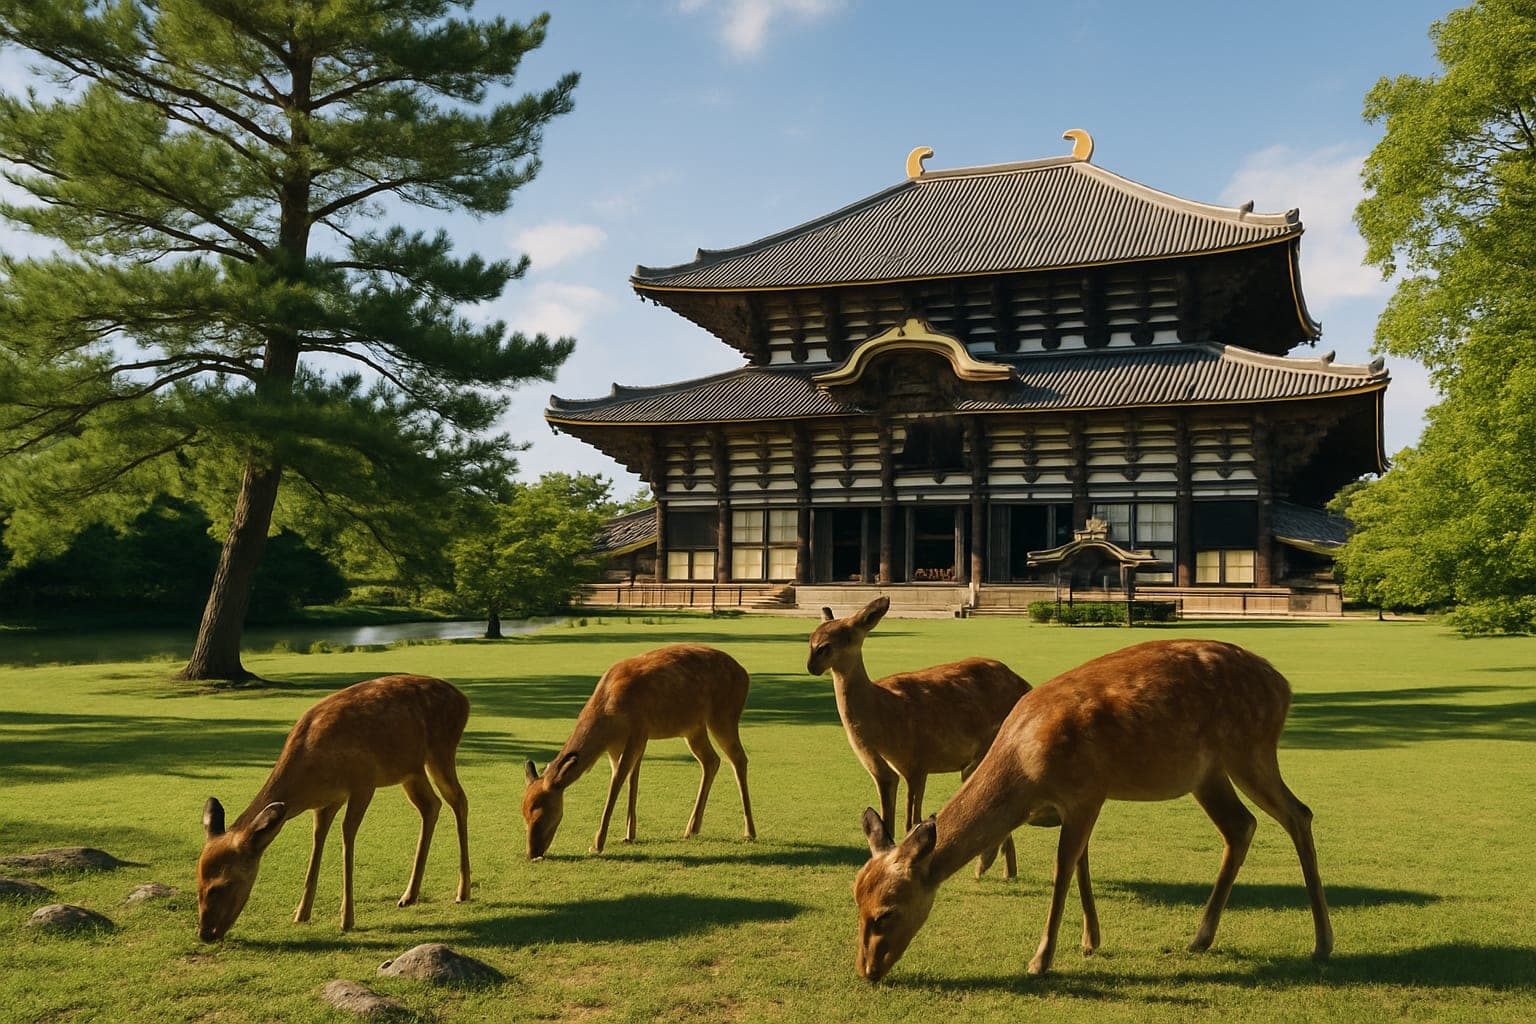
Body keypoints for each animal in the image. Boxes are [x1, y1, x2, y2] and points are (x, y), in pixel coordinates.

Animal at [196, 674, 471, 942]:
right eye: (197, 881)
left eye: (222, 885)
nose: (205, 934)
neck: (311, 777)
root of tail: (463, 700)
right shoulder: (328, 801)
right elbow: (318, 838)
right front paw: (301, 913)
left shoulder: (363, 783)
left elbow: (347, 834)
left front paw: (346, 920)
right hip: (410, 770)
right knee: (431, 805)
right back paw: (408, 896)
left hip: (441, 751)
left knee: (459, 799)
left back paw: (463, 892)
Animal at [522, 644, 755, 858]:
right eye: (523, 813)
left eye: (541, 815)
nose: (532, 853)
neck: (609, 715)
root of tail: (744, 674)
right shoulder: (617, 745)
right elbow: (630, 779)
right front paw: (628, 835)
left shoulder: (638, 732)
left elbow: (618, 781)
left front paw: (597, 844)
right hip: (693, 728)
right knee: (711, 760)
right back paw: (691, 829)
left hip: (724, 714)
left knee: (738, 758)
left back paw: (749, 832)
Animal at [807, 596, 1030, 879]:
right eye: (811, 638)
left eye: (847, 634)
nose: (813, 662)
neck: (884, 716)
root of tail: (1027, 685)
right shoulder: (893, 769)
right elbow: (889, 815)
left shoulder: (918, 761)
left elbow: (911, 821)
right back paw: (1005, 872)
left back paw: (986, 868)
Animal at [852, 638, 1333, 983]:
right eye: (856, 901)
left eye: (887, 912)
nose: (867, 970)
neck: (1025, 769)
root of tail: (1284, 686)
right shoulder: (1079, 803)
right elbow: (1082, 861)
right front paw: (1090, 941)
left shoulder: (1086, 791)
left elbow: (1064, 866)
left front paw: (1041, 959)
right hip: (1209, 773)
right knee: (1242, 826)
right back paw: (1200, 938)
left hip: (1250, 749)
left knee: (1298, 814)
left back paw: (1323, 943)